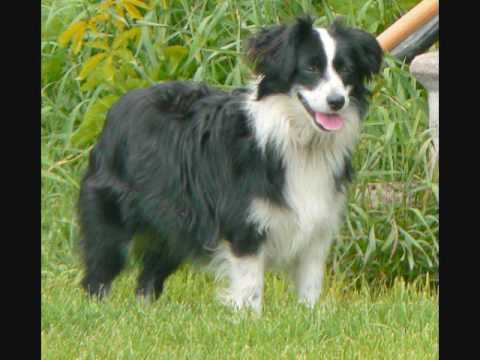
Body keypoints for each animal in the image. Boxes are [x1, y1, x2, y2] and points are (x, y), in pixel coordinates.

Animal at [78, 16, 382, 312]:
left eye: (346, 70)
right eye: (311, 68)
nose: (337, 101)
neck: (299, 142)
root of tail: (119, 105)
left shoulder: (317, 227)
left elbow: (310, 285)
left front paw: (309, 316)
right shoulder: (244, 225)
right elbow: (250, 287)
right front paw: (249, 319)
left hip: (173, 220)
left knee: (149, 276)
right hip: (113, 213)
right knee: (100, 269)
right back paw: (97, 307)